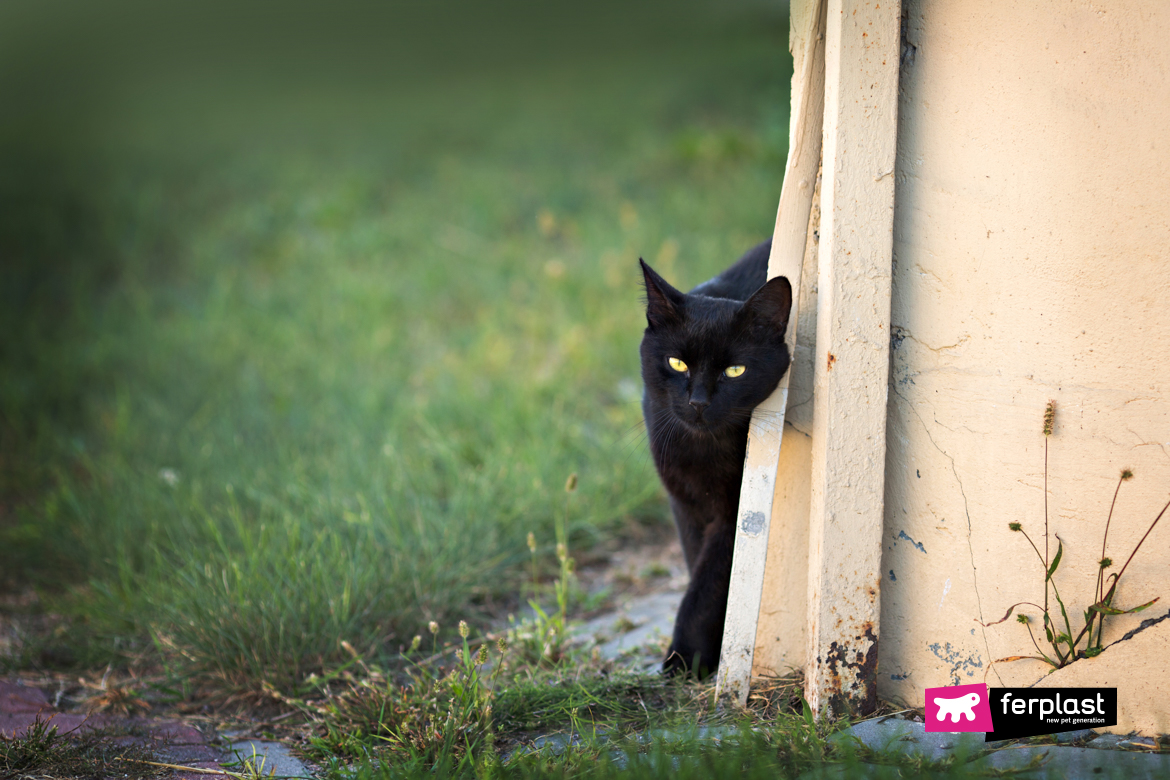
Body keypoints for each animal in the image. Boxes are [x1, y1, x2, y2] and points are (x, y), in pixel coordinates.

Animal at [641, 238, 795, 678]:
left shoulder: (734, 517)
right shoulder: (685, 505)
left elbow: (707, 585)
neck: (703, 453)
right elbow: (696, 567)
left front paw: (685, 657)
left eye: (734, 370)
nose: (698, 402)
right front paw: (701, 656)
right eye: (677, 363)